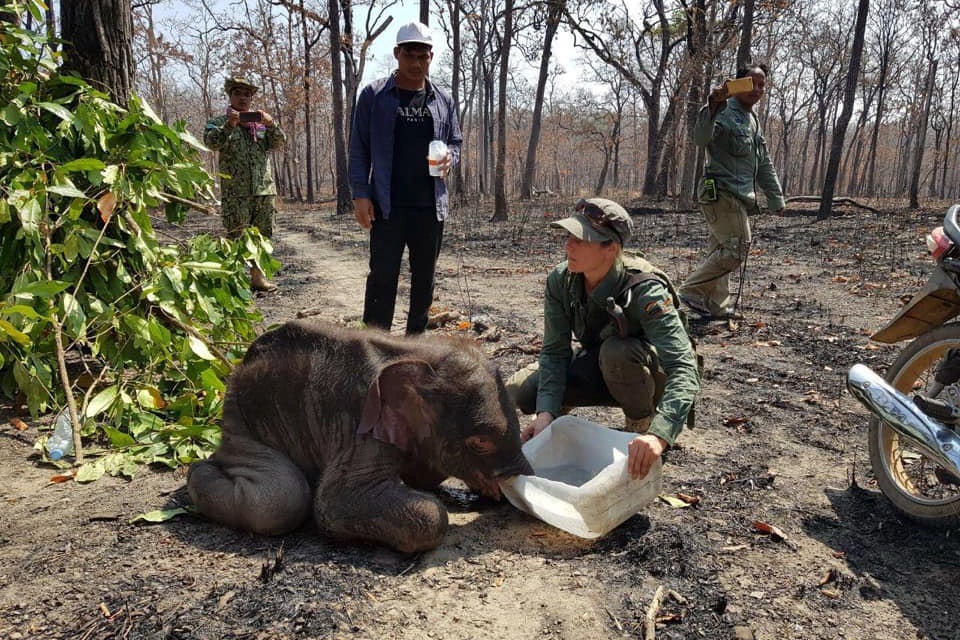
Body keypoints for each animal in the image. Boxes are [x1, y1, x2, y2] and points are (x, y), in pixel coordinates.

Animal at [188, 322, 532, 552]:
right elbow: (332, 503)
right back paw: (199, 469)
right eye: (480, 442)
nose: (514, 488)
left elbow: (422, 473)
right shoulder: (360, 426)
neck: (418, 354)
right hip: (242, 419)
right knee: (282, 499)